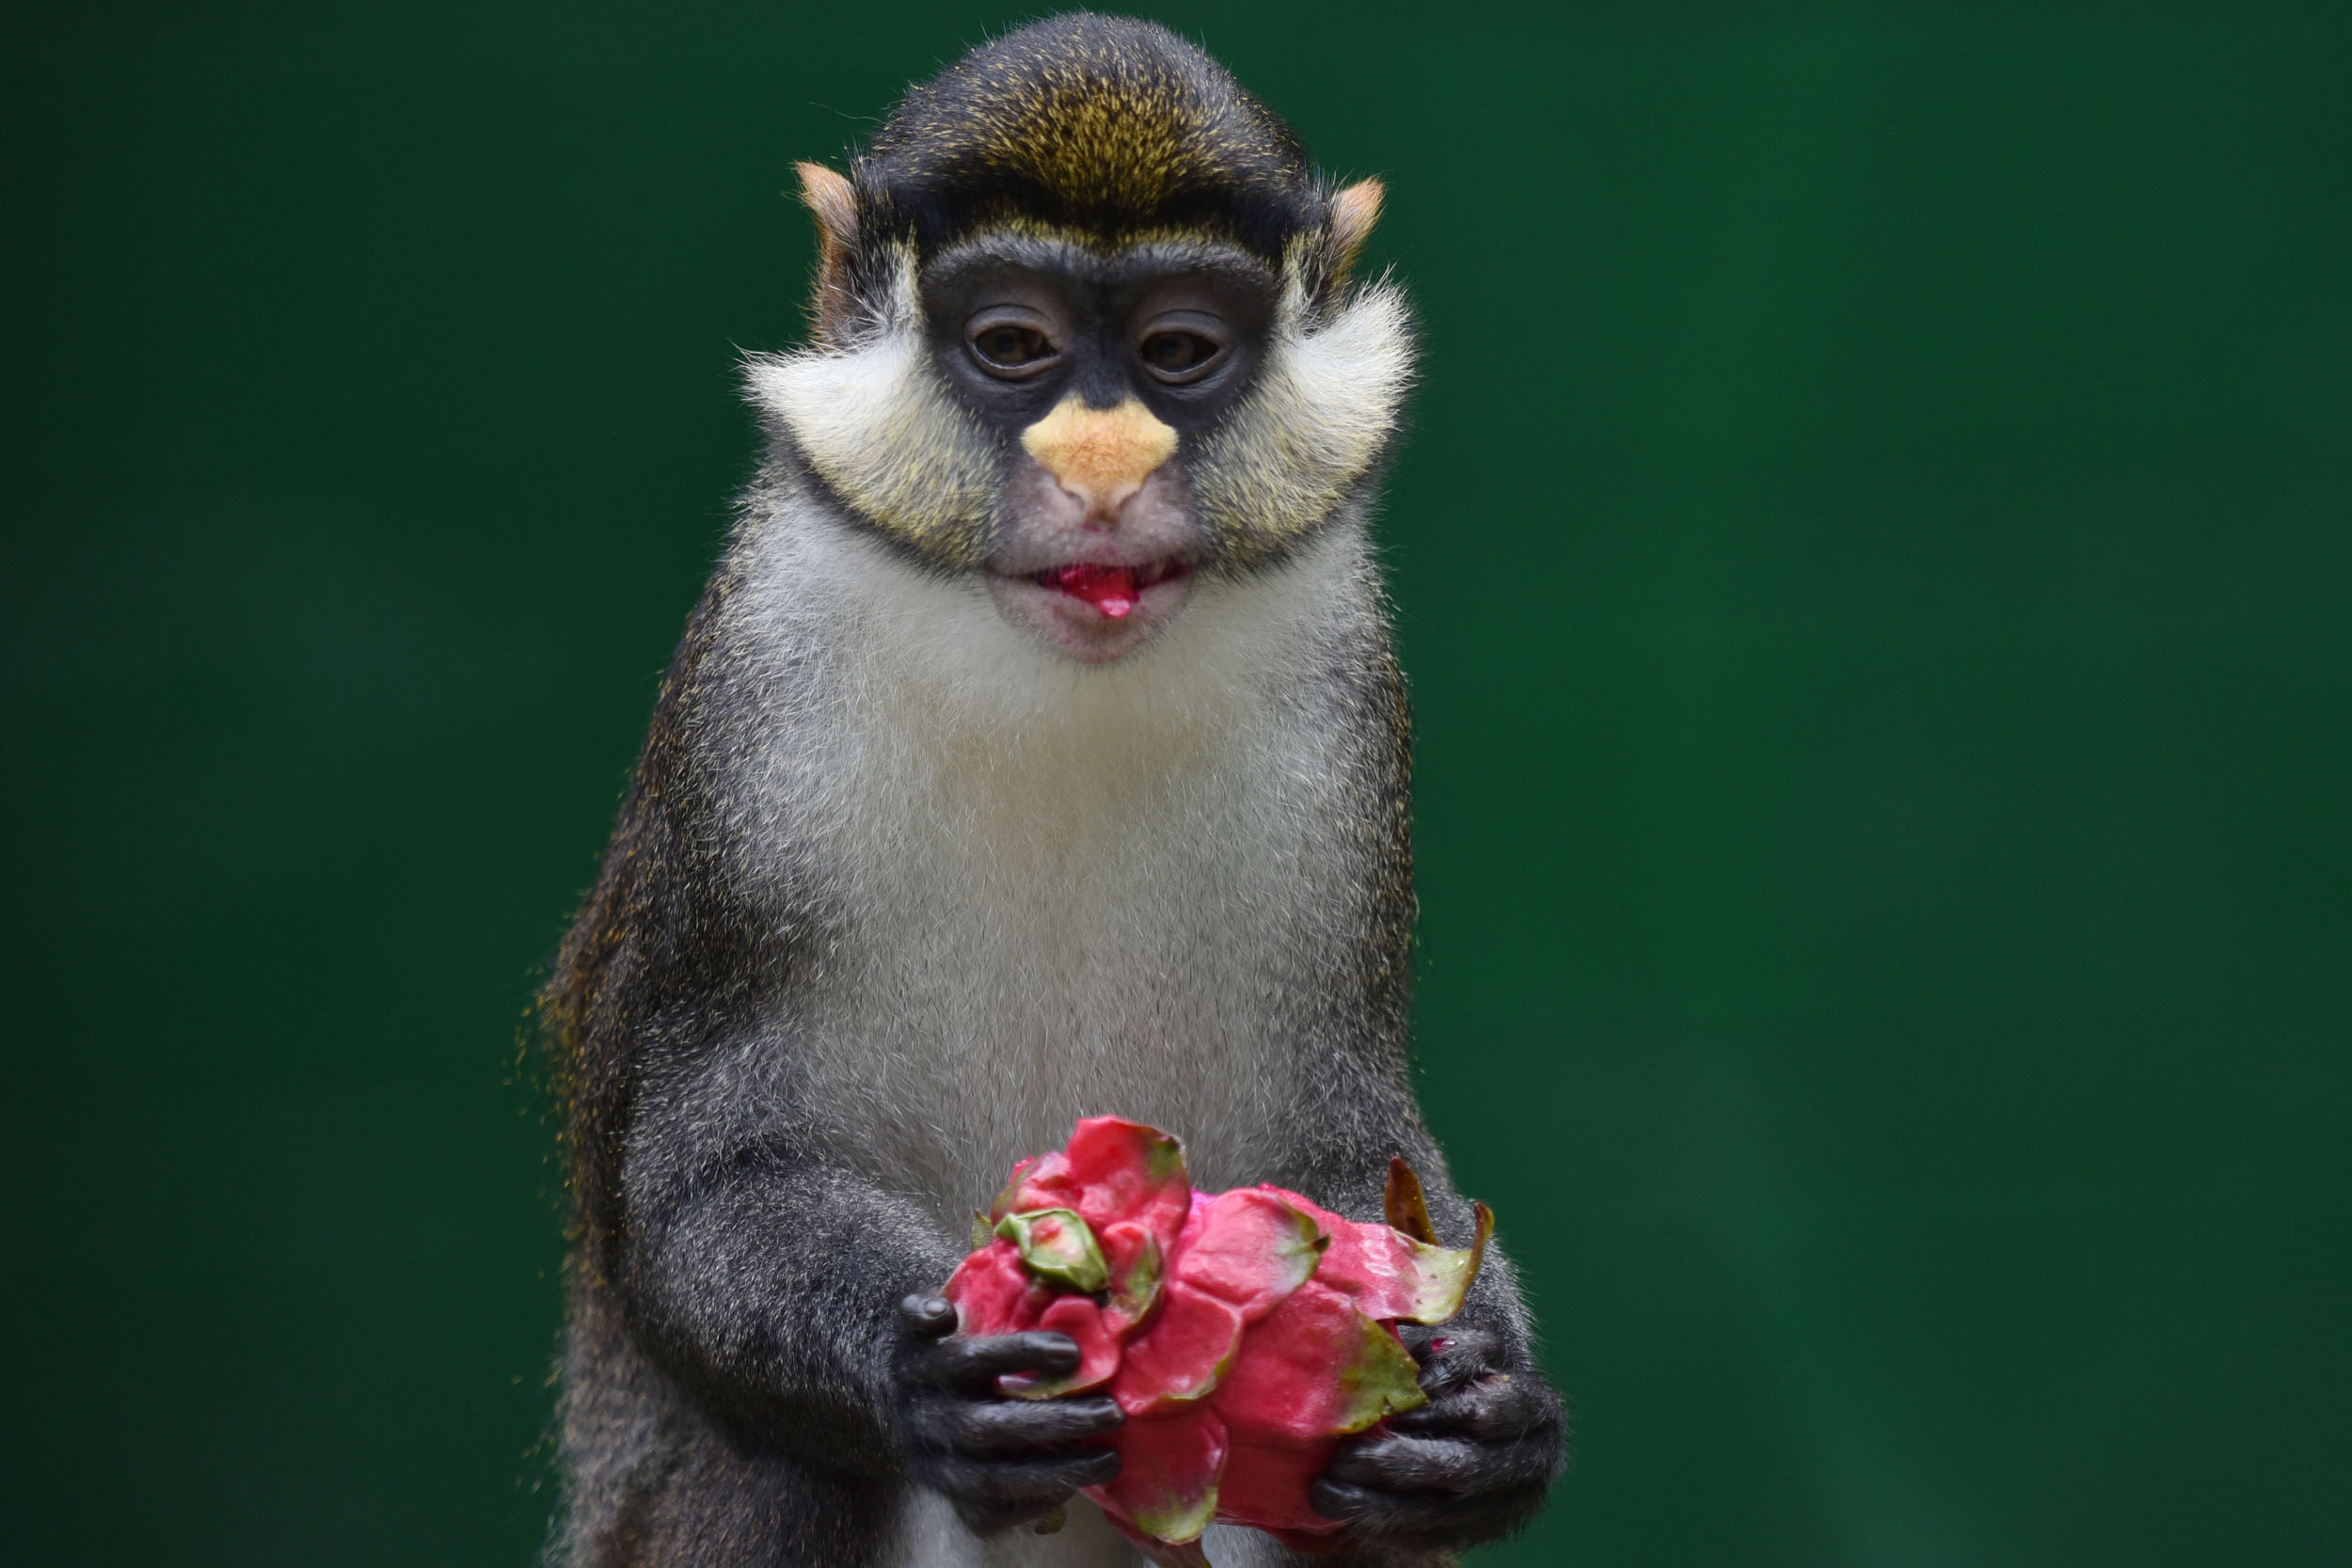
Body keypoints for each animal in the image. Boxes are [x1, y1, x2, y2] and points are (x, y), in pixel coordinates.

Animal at [543, 15, 1571, 1568]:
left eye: (1178, 351)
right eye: (1014, 346)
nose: (1101, 466)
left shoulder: (1347, 709)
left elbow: (1347, 1146)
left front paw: (1489, 1408)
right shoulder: (752, 709)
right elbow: (701, 1170)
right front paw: (919, 1377)